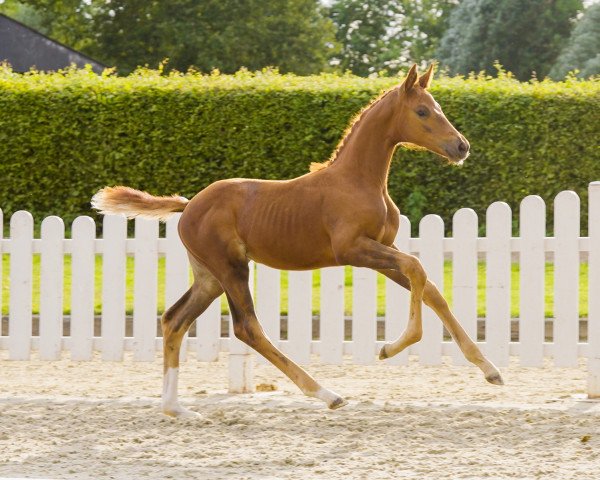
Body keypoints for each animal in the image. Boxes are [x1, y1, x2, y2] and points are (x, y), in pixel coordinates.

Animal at [92, 63, 502, 416]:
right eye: (422, 111)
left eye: (438, 108)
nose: (461, 147)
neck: (359, 180)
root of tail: (189, 204)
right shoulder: (353, 250)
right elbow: (418, 270)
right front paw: (389, 348)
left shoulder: (384, 249)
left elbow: (430, 287)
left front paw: (490, 369)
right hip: (231, 268)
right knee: (247, 327)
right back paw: (326, 393)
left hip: (209, 277)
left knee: (174, 320)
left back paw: (175, 408)